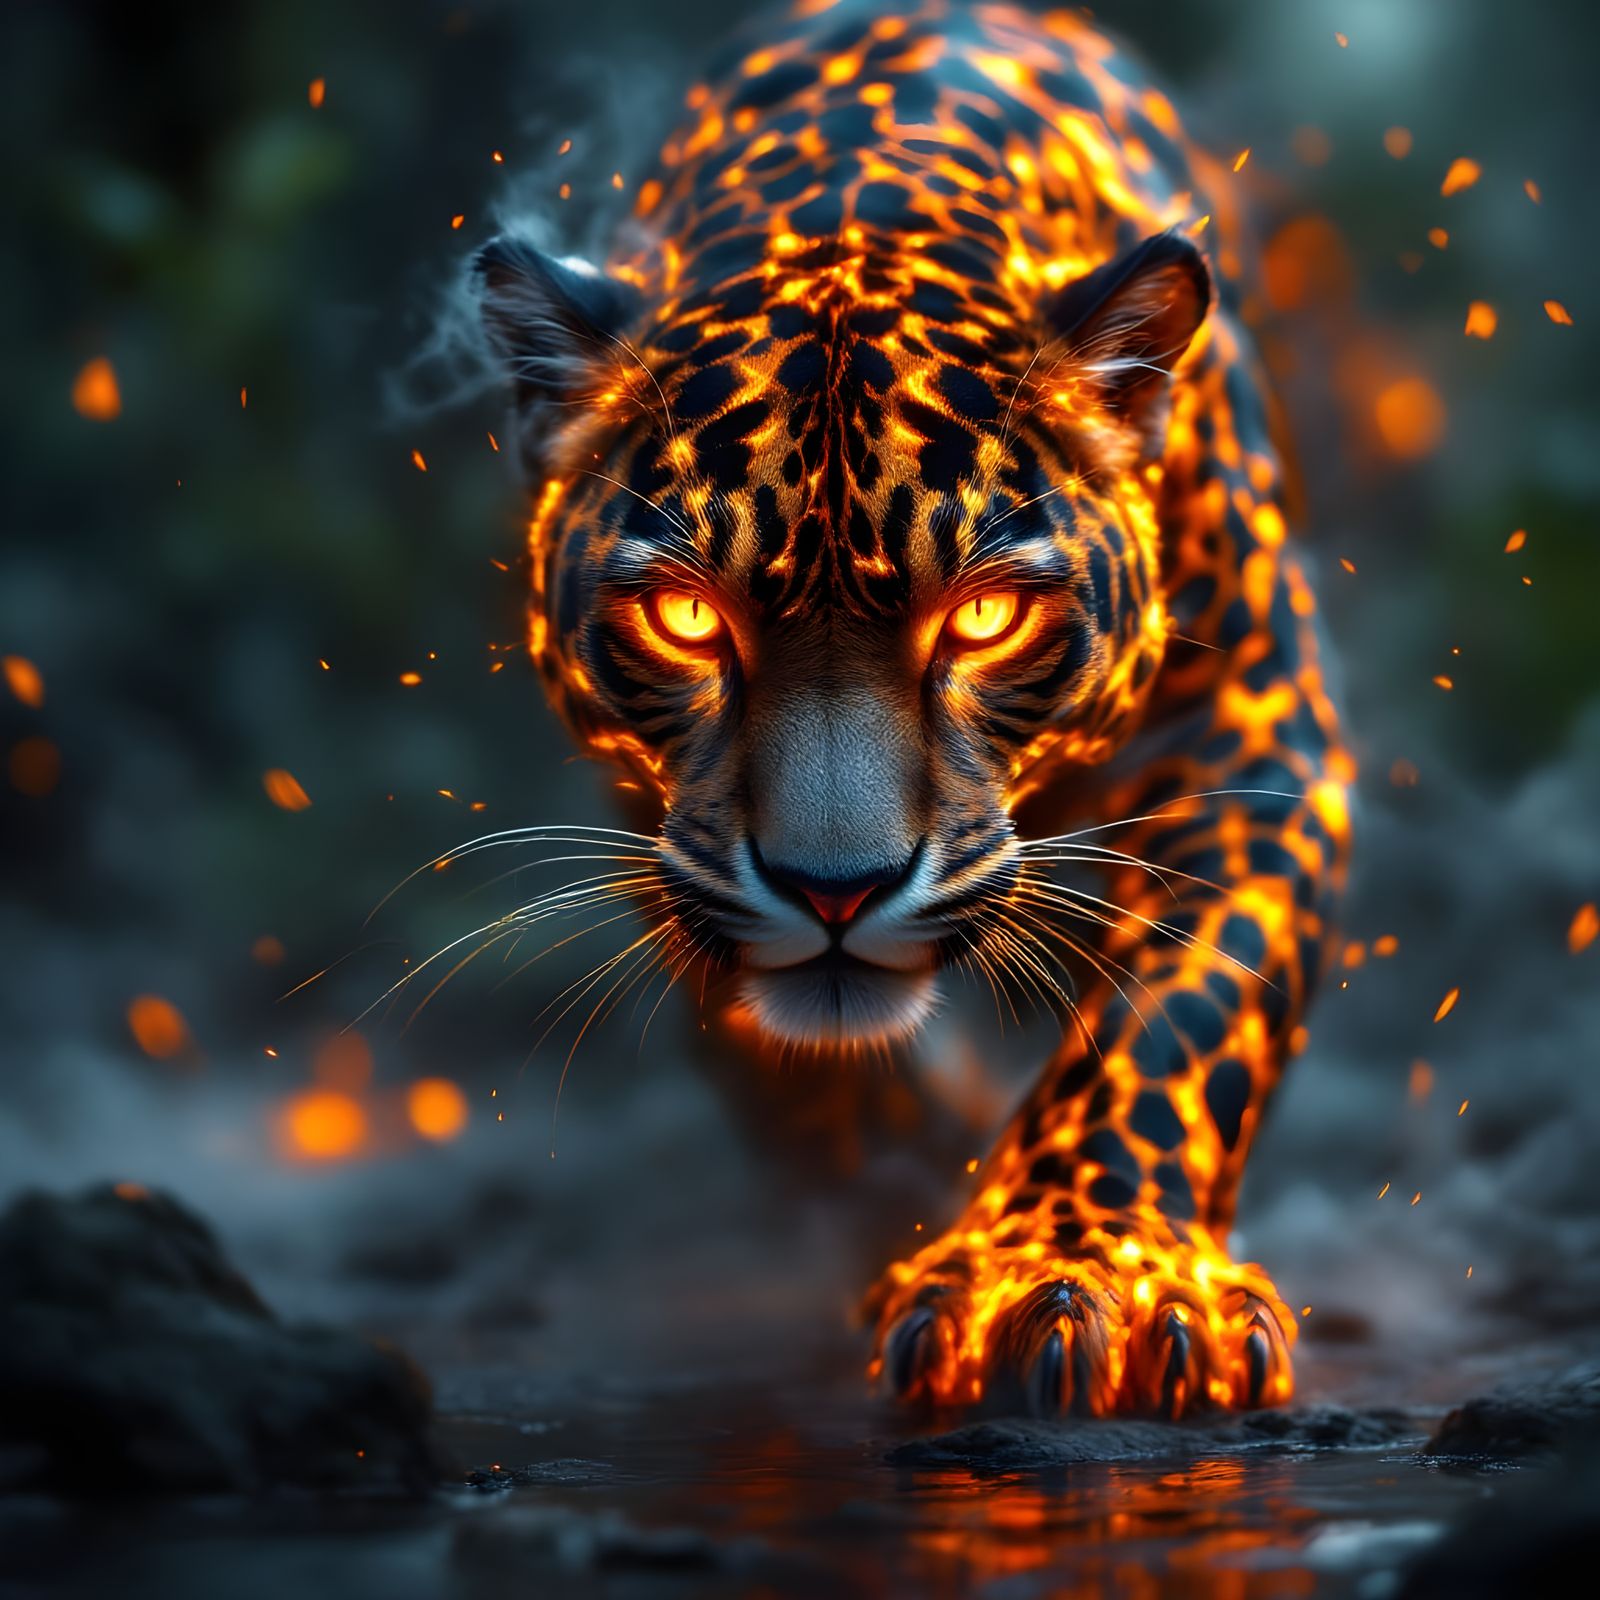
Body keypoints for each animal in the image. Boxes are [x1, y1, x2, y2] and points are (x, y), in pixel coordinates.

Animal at [474, 0, 1352, 1418]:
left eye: (986, 618)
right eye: (686, 620)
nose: (835, 891)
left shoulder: (1252, 725)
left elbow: (1178, 1013)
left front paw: (1081, 1275)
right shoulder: (650, 819)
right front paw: (909, 1177)